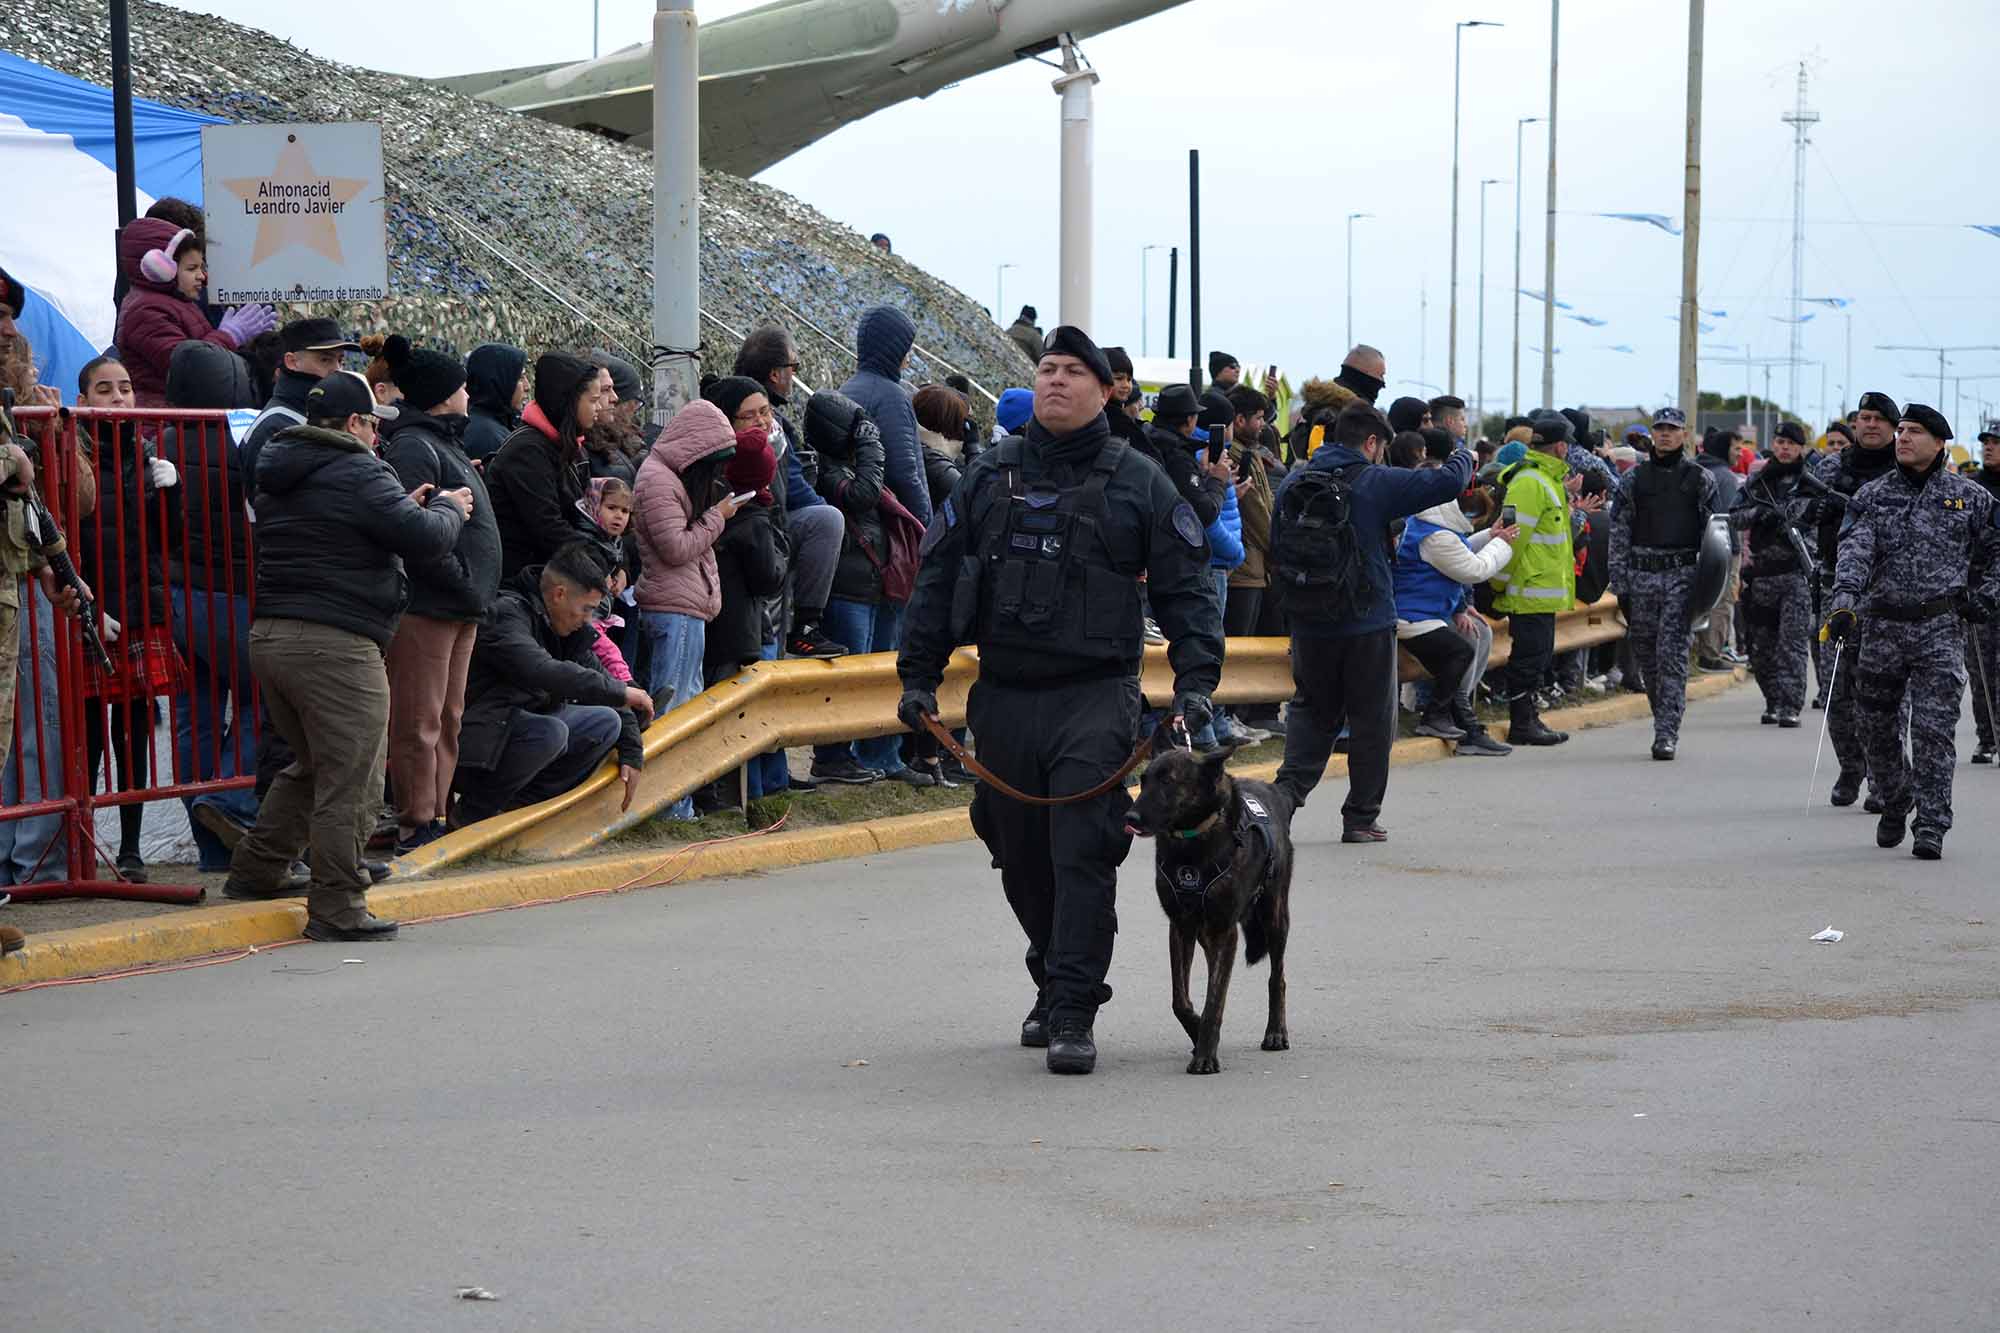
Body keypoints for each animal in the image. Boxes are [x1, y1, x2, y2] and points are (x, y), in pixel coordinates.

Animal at [1124, 733, 1295, 1074]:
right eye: (1145, 780)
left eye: (1168, 782)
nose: (1130, 818)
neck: (1192, 842)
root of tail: (1274, 791)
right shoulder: (1181, 927)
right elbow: (1181, 999)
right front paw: (1196, 1030)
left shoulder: (1225, 930)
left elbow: (1215, 999)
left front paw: (1205, 1054)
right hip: (1206, 935)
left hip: (1274, 918)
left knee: (1277, 977)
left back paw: (1275, 1032)